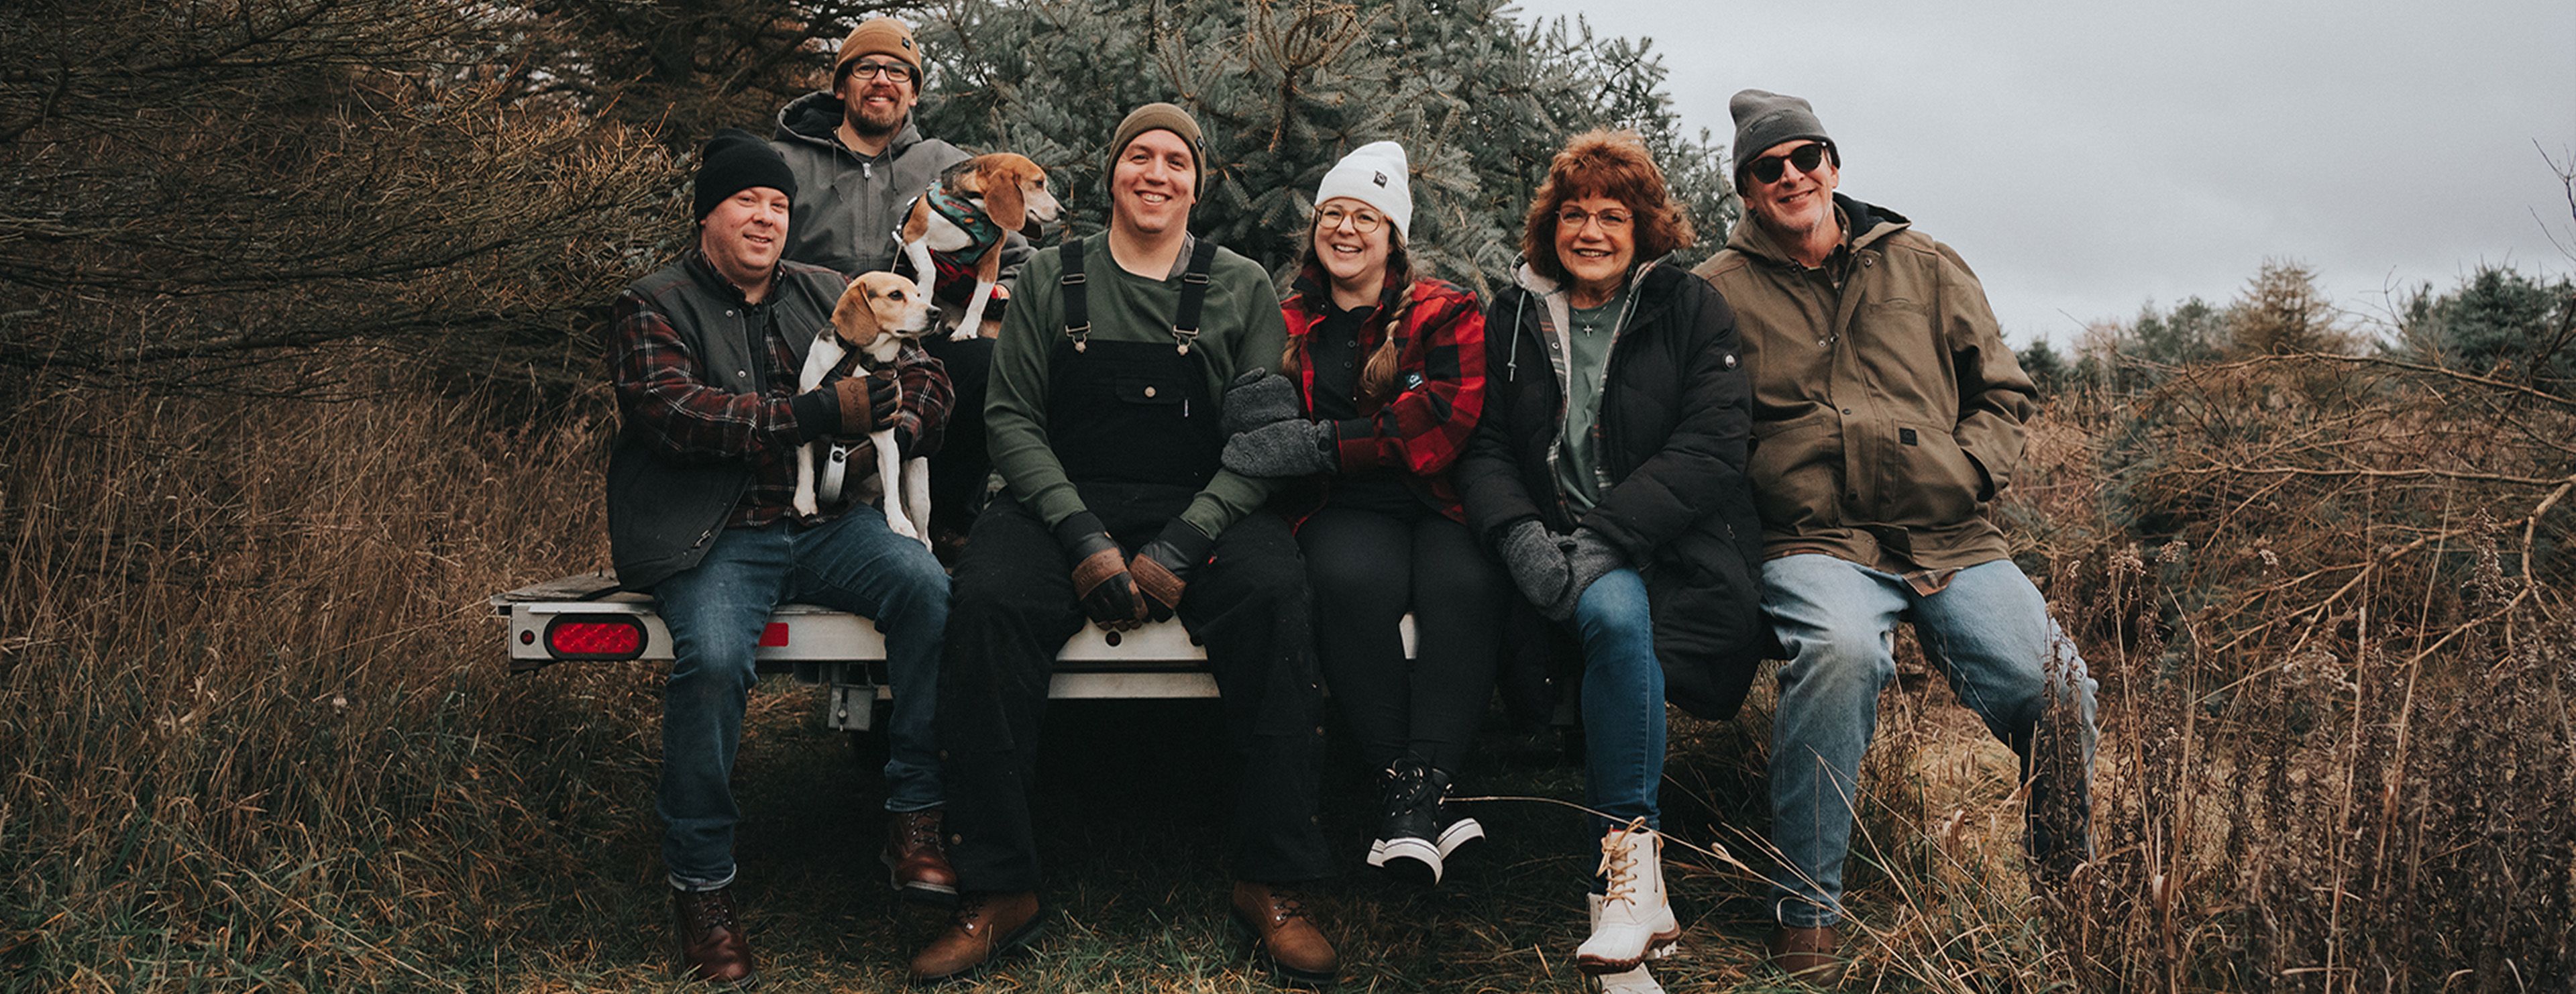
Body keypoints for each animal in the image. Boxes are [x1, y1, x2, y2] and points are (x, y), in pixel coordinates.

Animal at [793, 268, 948, 543]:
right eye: (896, 295)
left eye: (919, 295)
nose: (936, 312)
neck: (861, 360)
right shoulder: (806, 412)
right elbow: (805, 465)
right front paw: (805, 502)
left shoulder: (886, 437)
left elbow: (891, 486)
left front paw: (897, 521)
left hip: (919, 494)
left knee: (925, 537)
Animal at [902, 153, 1061, 342]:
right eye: (1038, 183)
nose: (1062, 211)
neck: (972, 209)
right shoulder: (912, 235)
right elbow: (929, 270)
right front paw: (925, 298)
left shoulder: (991, 261)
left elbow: (979, 299)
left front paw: (966, 330)